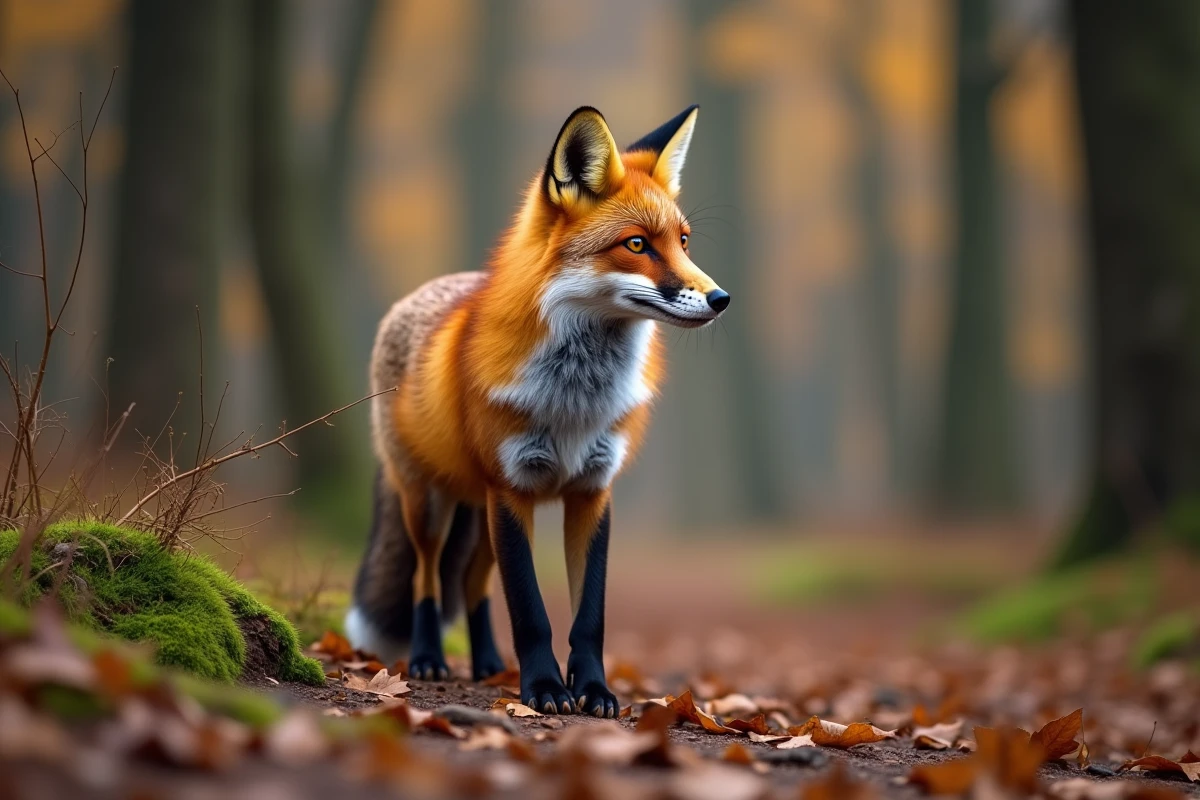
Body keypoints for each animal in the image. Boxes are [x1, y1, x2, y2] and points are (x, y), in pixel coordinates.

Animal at [345, 105, 729, 717]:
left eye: (684, 241)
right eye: (637, 244)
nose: (721, 299)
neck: (575, 397)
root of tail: (421, 292)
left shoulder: (592, 492)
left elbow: (588, 617)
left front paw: (593, 691)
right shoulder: (512, 490)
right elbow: (530, 611)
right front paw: (546, 689)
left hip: (478, 515)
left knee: (474, 586)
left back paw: (486, 664)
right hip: (430, 505)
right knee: (427, 581)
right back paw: (428, 658)